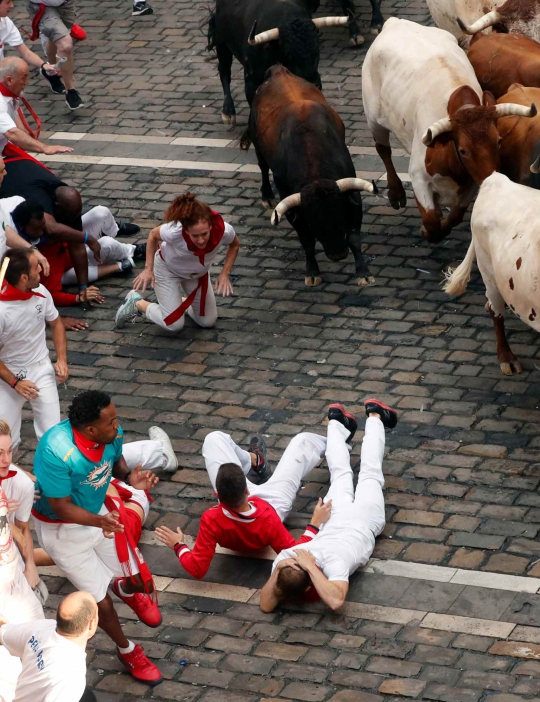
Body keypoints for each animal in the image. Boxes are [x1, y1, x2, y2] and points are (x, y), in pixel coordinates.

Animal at [208, 0, 384, 126]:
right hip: (222, 44)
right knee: (224, 72)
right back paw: (228, 112)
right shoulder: (250, 80)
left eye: (316, 48)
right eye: (290, 54)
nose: (314, 82)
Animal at [240, 64, 376, 288]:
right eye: (314, 223)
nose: (338, 255)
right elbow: (307, 242)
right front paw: (312, 272)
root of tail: (278, 70)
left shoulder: (352, 197)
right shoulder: (293, 209)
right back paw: (266, 196)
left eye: (340, 214)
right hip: (257, 145)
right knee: (262, 167)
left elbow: (354, 238)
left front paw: (364, 273)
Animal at [360, 17, 532, 246]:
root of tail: (396, 21)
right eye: (463, 150)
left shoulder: (470, 182)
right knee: (383, 150)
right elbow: (431, 220)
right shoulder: (418, 177)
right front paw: (428, 230)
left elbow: (456, 216)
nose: (493, 179)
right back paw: (396, 192)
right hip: (372, 117)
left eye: (498, 141)